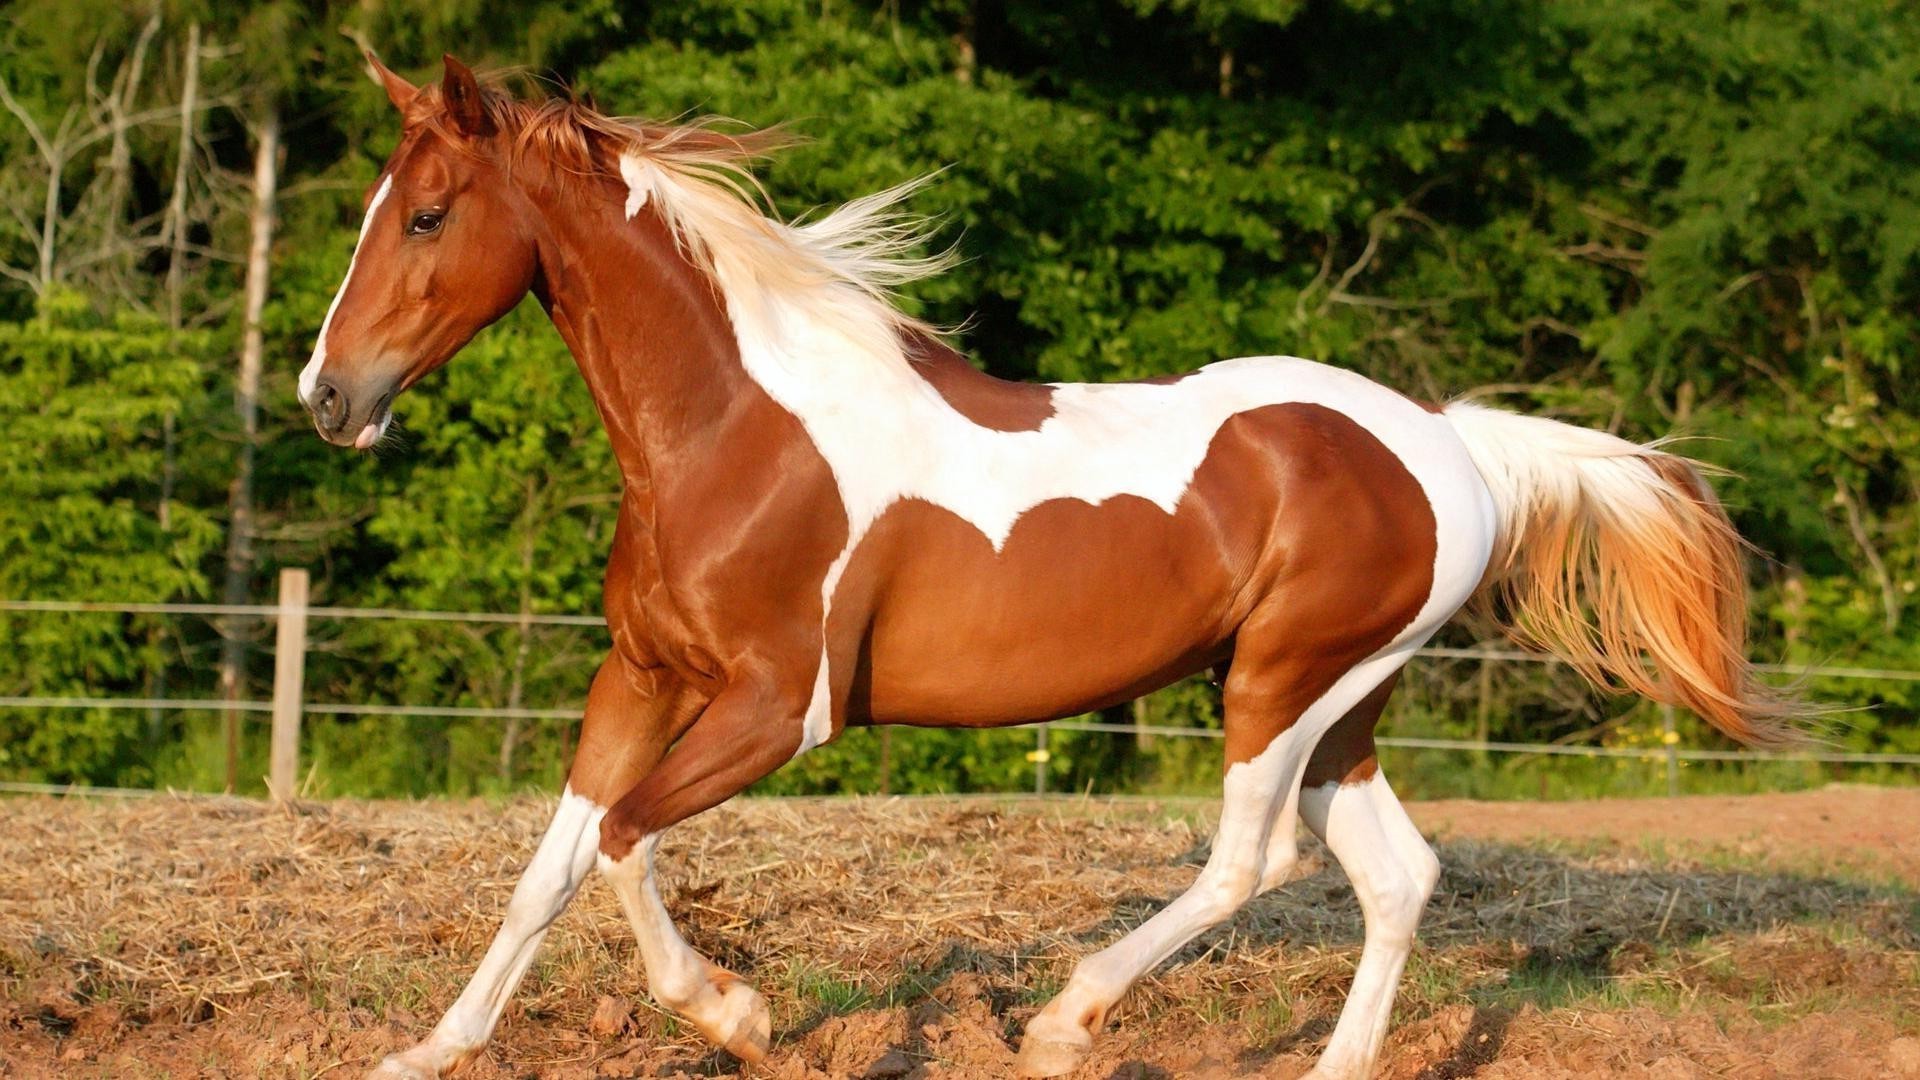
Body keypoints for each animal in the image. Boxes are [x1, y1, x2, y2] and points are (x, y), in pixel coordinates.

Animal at [299, 56, 1797, 1076]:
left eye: (427, 216)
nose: (328, 397)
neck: (736, 430)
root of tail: (1451, 440)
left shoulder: (783, 707)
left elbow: (621, 839)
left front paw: (738, 1012)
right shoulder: (643, 676)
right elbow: (551, 866)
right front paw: (426, 1051)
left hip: (1283, 683)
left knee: (1251, 861)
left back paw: (1066, 1022)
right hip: (1345, 704)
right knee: (1397, 876)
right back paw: (1326, 1063)